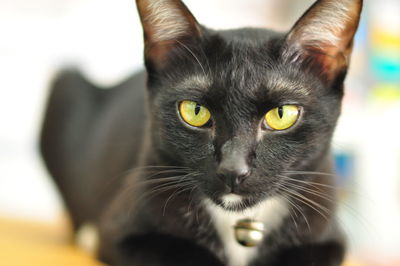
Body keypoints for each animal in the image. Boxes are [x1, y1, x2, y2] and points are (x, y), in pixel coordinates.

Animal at [39, 0, 362, 266]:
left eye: (282, 114)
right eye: (195, 111)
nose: (233, 169)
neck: (239, 222)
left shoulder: (328, 237)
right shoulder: (122, 231)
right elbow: (182, 253)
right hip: (65, 84)